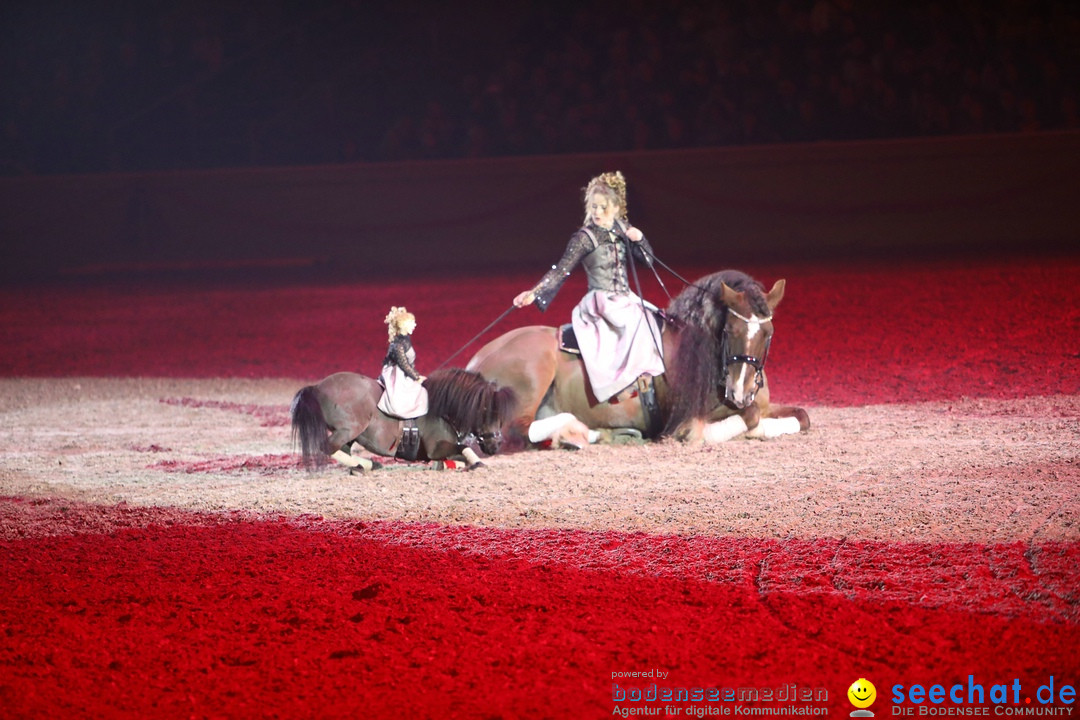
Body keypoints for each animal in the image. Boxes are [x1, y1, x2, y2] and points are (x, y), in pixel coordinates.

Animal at [291, 367, 518, 472]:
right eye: (486, 411)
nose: (496, 444)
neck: (440, 408)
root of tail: (318, 387)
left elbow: (460, 453)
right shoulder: (436, 449)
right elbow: (463, 448)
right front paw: (475, 463)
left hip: (351, 434)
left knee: (342, 450)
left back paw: (366, 465)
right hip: (350, 429)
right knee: (327, 447)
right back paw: (365, 465)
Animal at [466, 269, 812, 451]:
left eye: (768, 333)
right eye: (730, 329)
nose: (740, 392)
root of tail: (475, 362)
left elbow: (801, 417)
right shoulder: (687, 419)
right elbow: (741, 421)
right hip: (533, 375)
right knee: (516, 432)